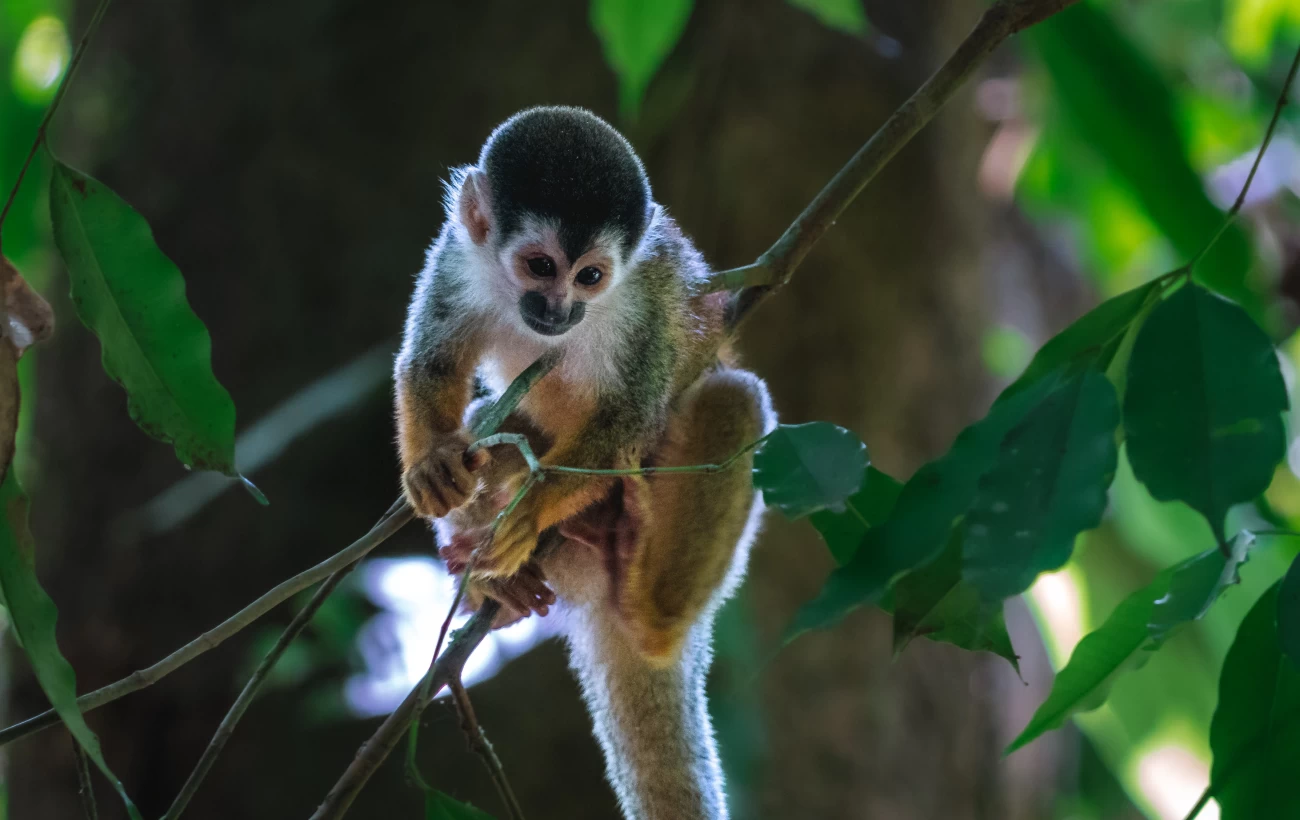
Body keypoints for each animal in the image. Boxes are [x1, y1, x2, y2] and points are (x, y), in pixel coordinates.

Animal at [394, 106, 775, 820]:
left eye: (591, 276)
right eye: (540, 265)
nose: (558, 308)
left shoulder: (643, 307)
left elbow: (627, 419)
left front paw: (528, 514)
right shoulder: (455, 254)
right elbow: (432, 364)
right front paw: (432, 466)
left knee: (732, 396)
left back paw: (648, 608)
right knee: (489, 429)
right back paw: (497, 584)